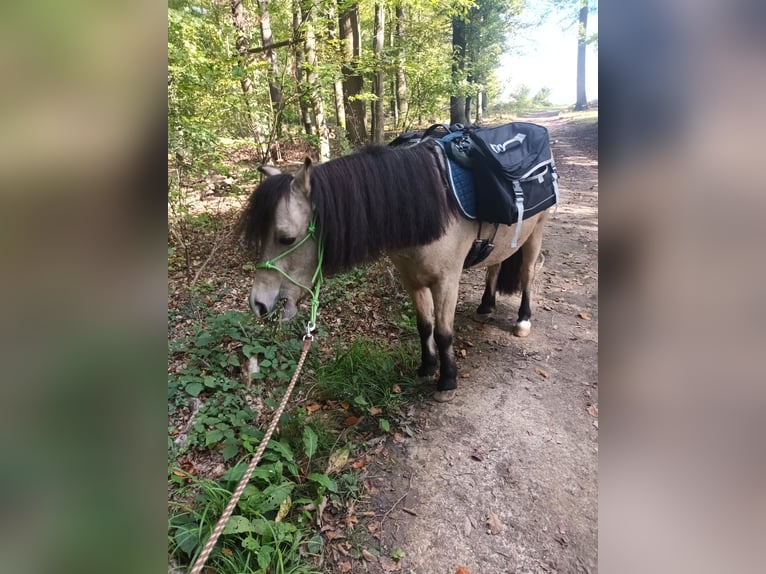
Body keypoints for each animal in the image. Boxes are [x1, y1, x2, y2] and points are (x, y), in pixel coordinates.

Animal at [240, 141, 552, 402]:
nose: (258, 303)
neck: (433, 208)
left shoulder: (446, 282)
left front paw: (447, 381)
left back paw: (523, 320)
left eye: (287, 238)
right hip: (503, 241)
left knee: (527, 276)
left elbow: (443, 332)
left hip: (535, 233)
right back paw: (486, 306)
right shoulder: (412, 280)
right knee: (495, 265)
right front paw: (427, 367)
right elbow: (424, 326)